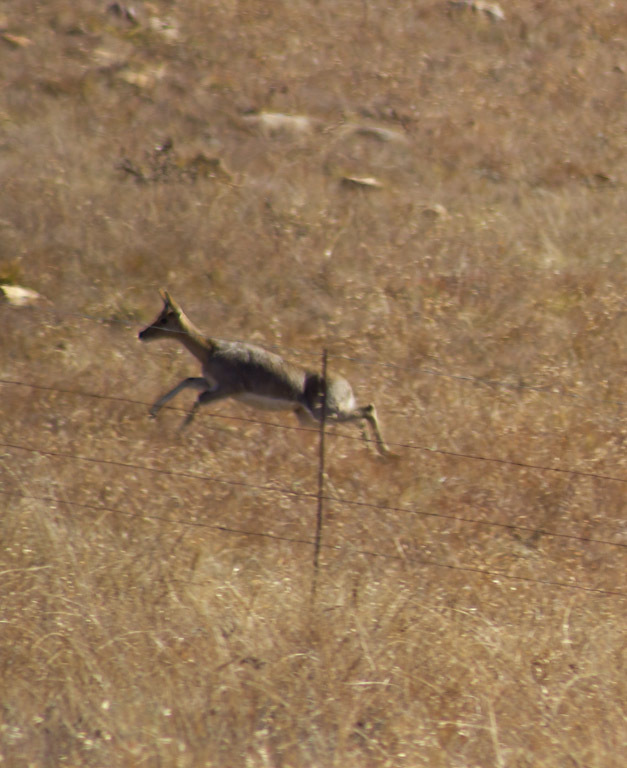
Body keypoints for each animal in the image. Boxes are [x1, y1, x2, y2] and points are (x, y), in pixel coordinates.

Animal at [140, 290, 392, 456]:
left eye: (165, 318)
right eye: (159, 314)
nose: (142, 334)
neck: (210, 349)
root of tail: (346, 386)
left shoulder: (225, 390)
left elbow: (198, 400)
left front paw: (178, 433)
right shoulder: (211, 383)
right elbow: (187, 380)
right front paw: (153, 411)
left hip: (325, 413)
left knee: (368, 410)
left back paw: (385, 451)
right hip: (309, 416)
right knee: (361, 415)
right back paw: (371, 450)